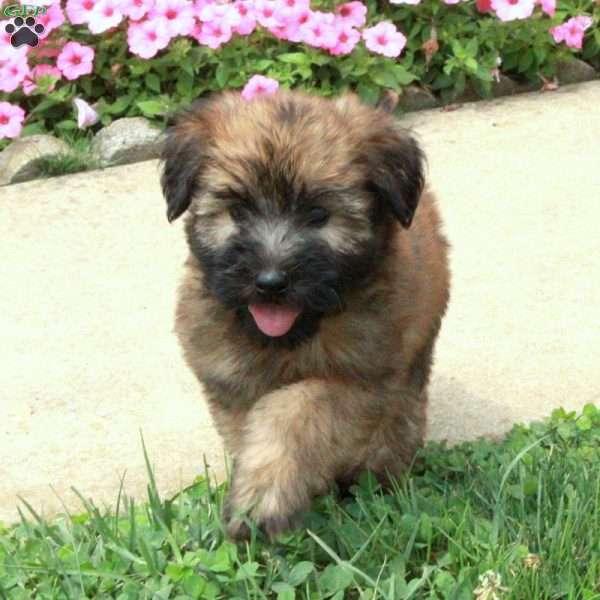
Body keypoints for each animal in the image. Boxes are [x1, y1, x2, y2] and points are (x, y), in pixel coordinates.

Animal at [159, 91, 450, 540]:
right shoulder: (226, 377)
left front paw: (264, 500)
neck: (288, 340)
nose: (270, 282)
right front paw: (263, 486)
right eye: (238, 211)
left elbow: (293, 410)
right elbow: (250, 428)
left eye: (318, 214)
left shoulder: (363, 378)